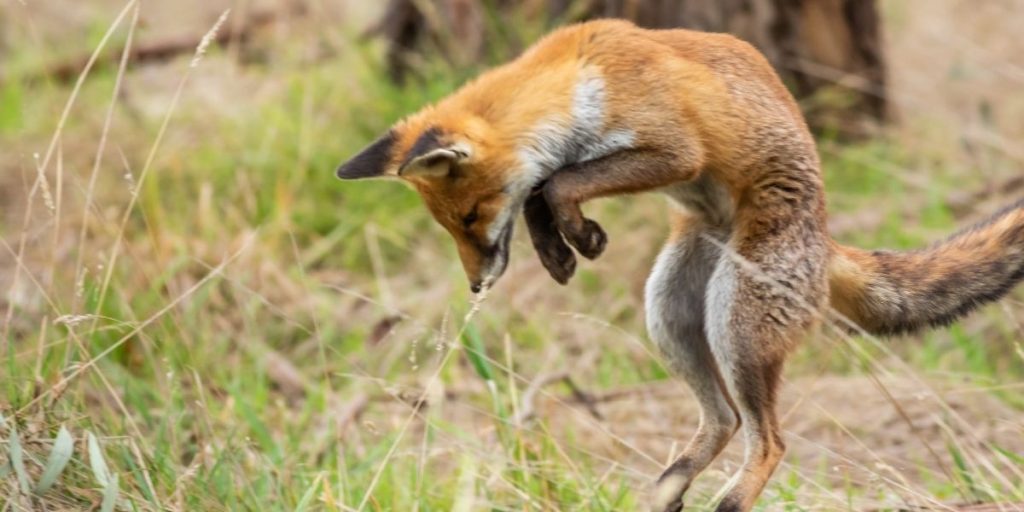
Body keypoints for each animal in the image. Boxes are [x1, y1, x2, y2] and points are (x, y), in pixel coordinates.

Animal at [335, 19, 1024, 512]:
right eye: (450, 226)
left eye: (474, 215)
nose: (477, 283)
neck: (579, 79)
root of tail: (825, 242)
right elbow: (543, 188)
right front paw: (562, 249)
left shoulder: (674, 149)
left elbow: (556, 181)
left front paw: (574, 238)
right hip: (669, 314)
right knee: (722, 421)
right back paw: (668, 492)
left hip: (736, 322)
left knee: (768, 440)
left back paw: (730, 502)